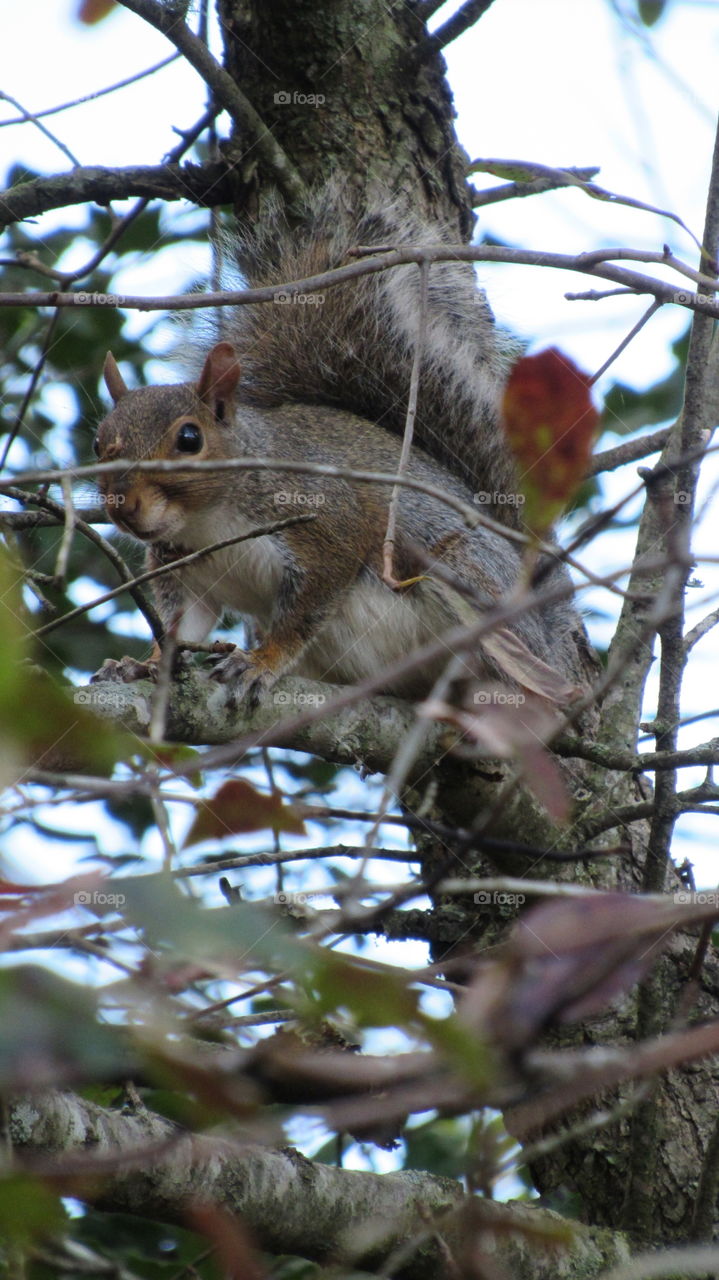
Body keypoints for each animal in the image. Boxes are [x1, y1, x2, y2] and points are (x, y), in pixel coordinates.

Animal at [93, 191, 591, 706]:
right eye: (97, 443)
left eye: (189, 439)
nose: (123, 506)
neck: (205, 521)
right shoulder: (186, 572)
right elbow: (182, 625)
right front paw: (144, 665)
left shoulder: (325, 524)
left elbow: (304, 613)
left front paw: (260, 662)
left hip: (462, 572)